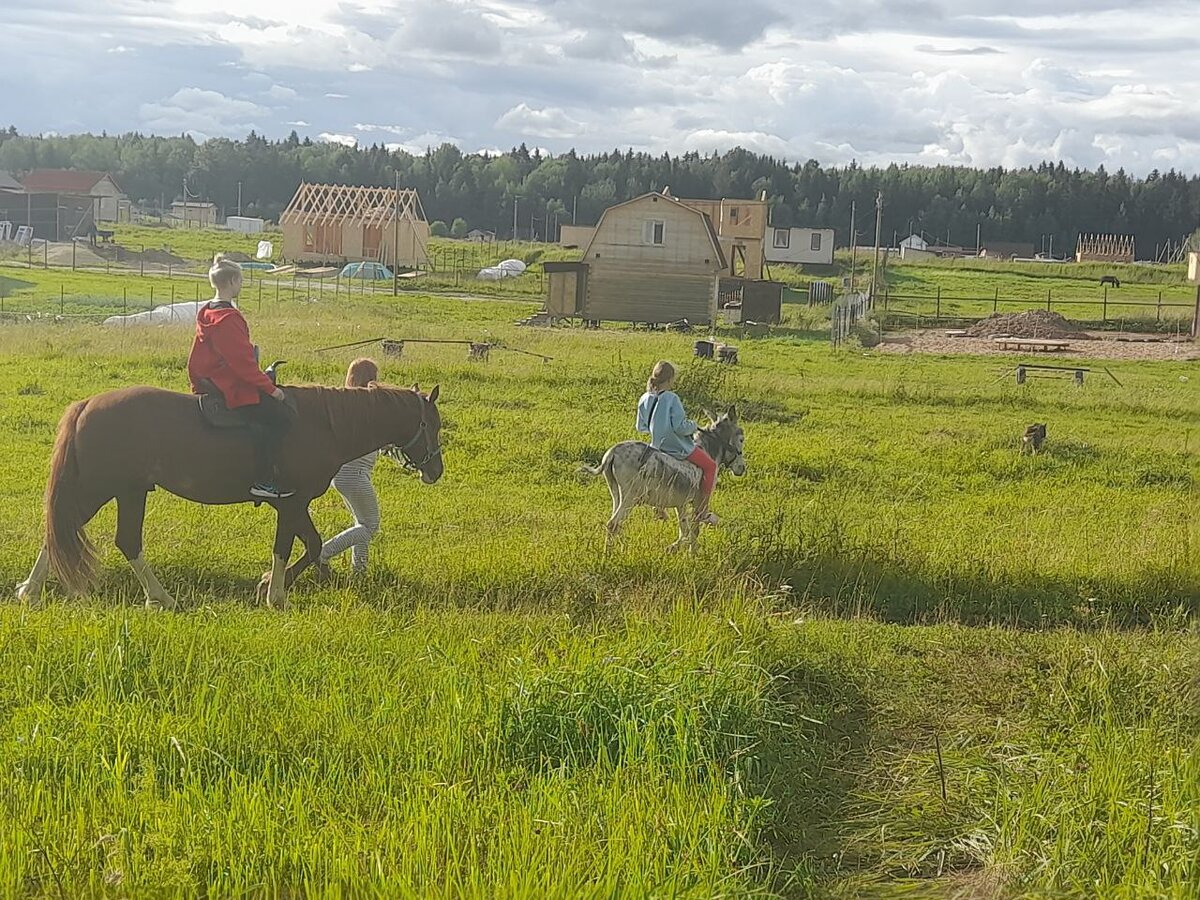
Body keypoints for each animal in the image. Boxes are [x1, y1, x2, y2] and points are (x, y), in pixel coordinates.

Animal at [12, 384, 446, 609]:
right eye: (434, 424)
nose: (436, 471)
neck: (322, 424)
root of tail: (87, 404)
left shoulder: (297, 504)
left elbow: (312, 545)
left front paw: (274, 584)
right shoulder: (290, 503)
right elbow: (287, 547)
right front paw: (275, 594)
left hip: (129, 492)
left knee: (108, 539)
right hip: (103, 489)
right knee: (72, 531)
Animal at [585, 408, 744, 549]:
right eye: (742, 439)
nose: (742, 468)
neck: (708, 450)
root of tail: (612, 452)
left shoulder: (681, 504)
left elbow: (685, 531)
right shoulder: (698, 502)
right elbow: (695, 529)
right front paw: (687, 552)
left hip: (616, 494)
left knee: (614, 524)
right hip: (630, 497)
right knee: (613, 524)